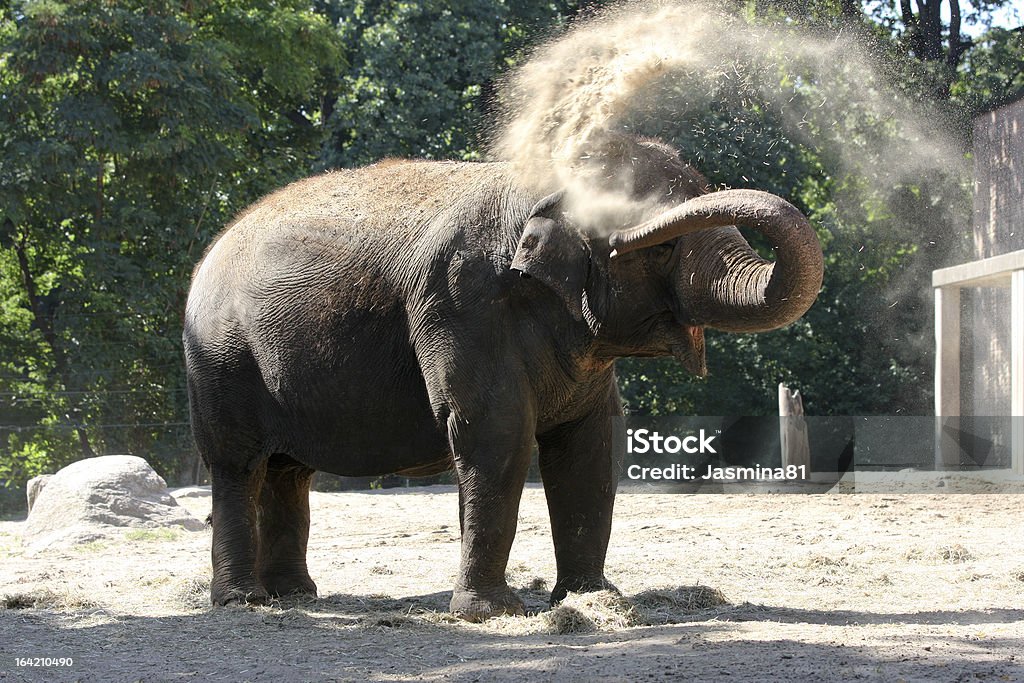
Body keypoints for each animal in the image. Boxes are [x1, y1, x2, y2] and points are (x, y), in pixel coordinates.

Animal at [184, 132, 823, 618]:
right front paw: (491, 613)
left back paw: (296, 597)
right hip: (220, 360)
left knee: (288, 472)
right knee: (238, 465)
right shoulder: (461, 304)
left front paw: (591, 600)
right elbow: (496, 434)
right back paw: (244, 603)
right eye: (660, 248)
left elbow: (589, 446)